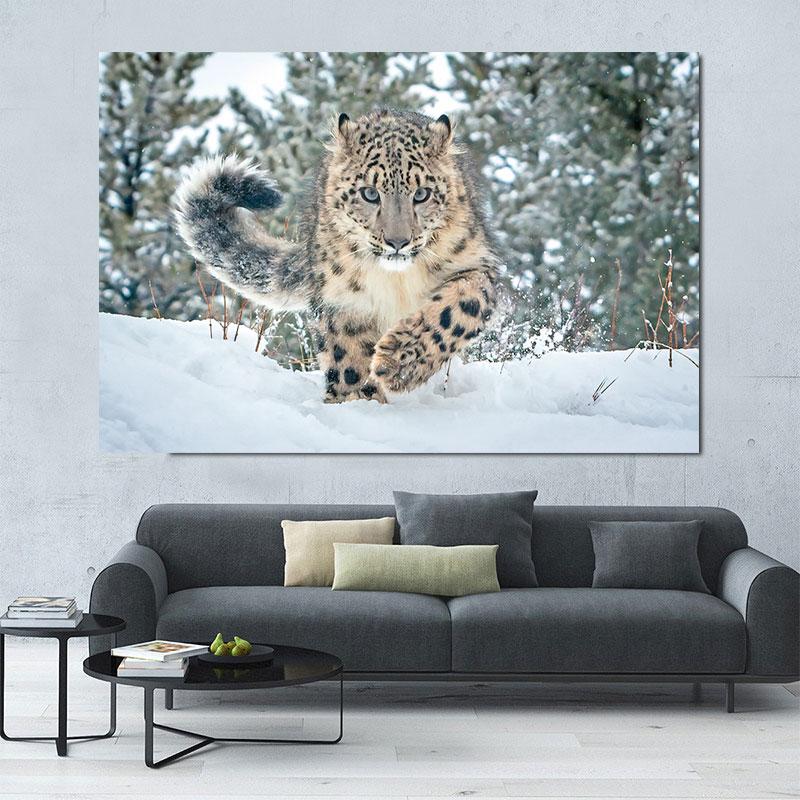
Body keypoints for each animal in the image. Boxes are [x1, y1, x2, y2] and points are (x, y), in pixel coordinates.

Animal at [174, 108, 500, 403]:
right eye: (370, 193)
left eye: (422, 194)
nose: (397, 242)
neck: (396, 280)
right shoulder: (345, 298)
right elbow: (349, 355)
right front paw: (357, 400)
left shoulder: (475, 265)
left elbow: (456, 310)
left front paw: (397, 364)